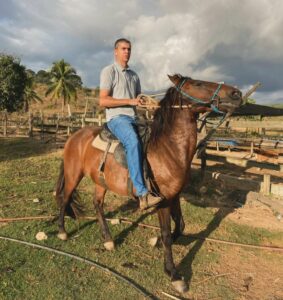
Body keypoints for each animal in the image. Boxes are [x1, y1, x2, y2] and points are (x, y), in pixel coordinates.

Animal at [56, 74, 244, 292]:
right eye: (198, 84)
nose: (236, 93)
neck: (168, 149)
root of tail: (74, 136)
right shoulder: (162, 201)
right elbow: (167, 234)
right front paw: (173, 273)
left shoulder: (174, 196)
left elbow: (180, 225)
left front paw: (155, 241)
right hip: (73, 175)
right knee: (65, 199)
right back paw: (62, 232)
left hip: (100, 182)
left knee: (97, 204)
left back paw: (108, 240)